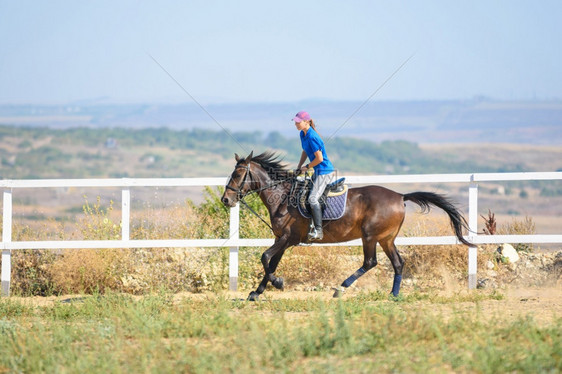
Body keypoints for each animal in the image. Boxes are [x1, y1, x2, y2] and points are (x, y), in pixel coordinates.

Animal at [219, 150, 468, 300]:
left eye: (238, 174)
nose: (226, 200)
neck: (282, 197)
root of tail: (400, 196)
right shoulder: (281, 239)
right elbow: (271, 262)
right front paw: (257, 292)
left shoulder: (288, 239)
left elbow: (265, 258)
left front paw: (277, 283)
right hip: (386, 238)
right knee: (398, 263)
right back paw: (393, 294)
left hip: (370, 236)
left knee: (370, 262)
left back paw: (341, 288)